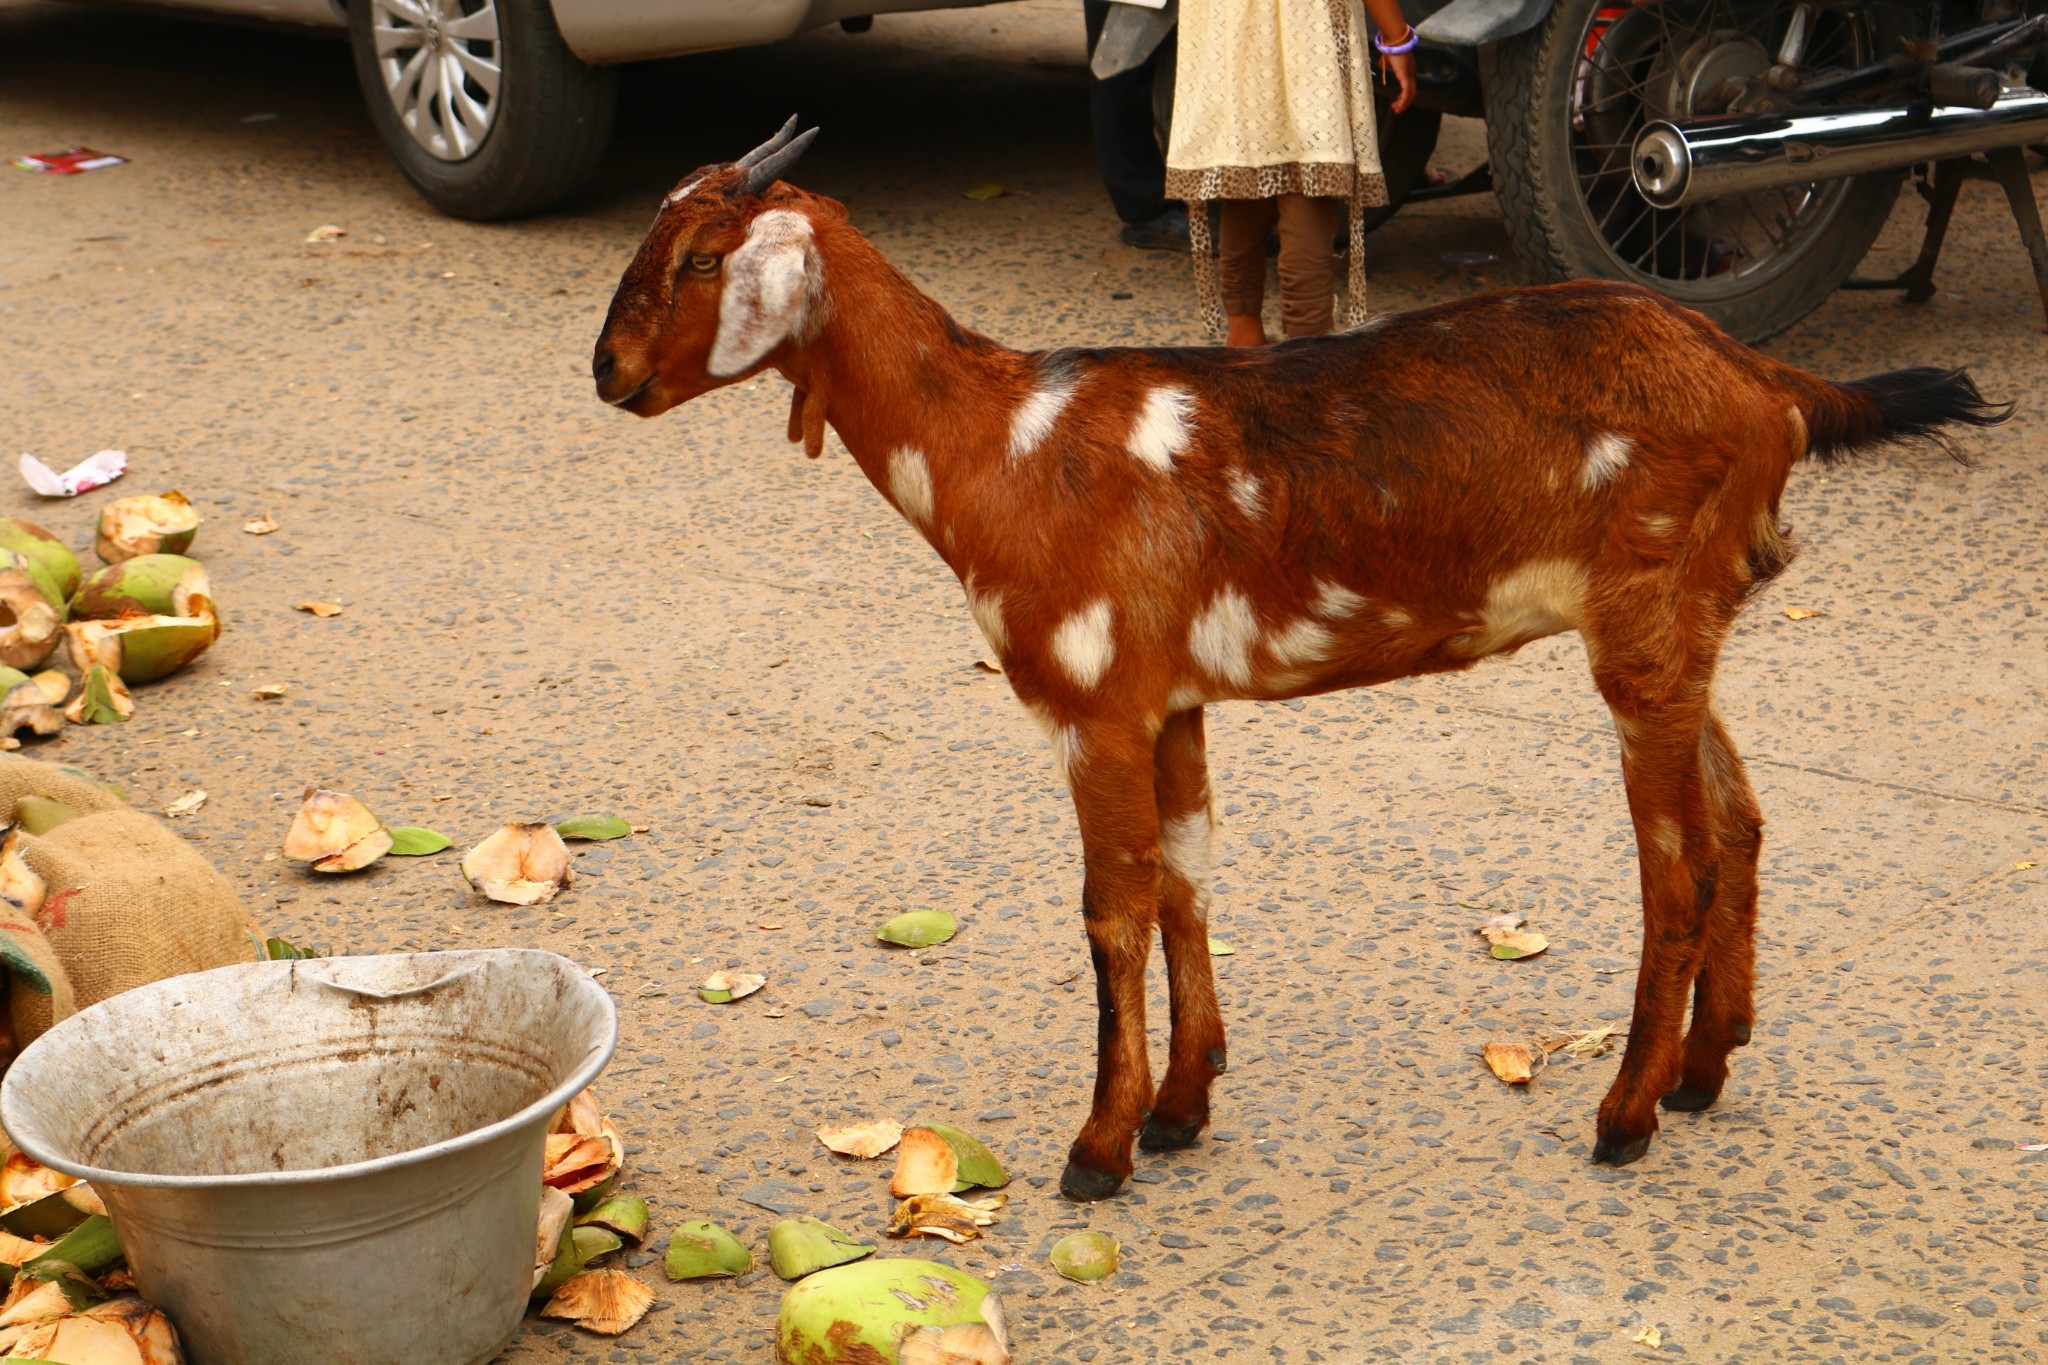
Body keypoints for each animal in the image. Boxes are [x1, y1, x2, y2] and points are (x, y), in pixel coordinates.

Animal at [598, 122, 2015, 1203]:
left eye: (701, 257)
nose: (604, 371)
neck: (1001, 440)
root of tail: (1767, 379)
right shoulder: (1168, 704)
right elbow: (1183, 881)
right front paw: (1180, 1104)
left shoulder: (1088, 708)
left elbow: (1108, 911)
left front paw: (1099, 1147)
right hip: (1684, 632)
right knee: (1743, 818)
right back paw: (1707, 1069)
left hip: (1643, 632)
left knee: (1680, 865)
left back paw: (1625, 1115)